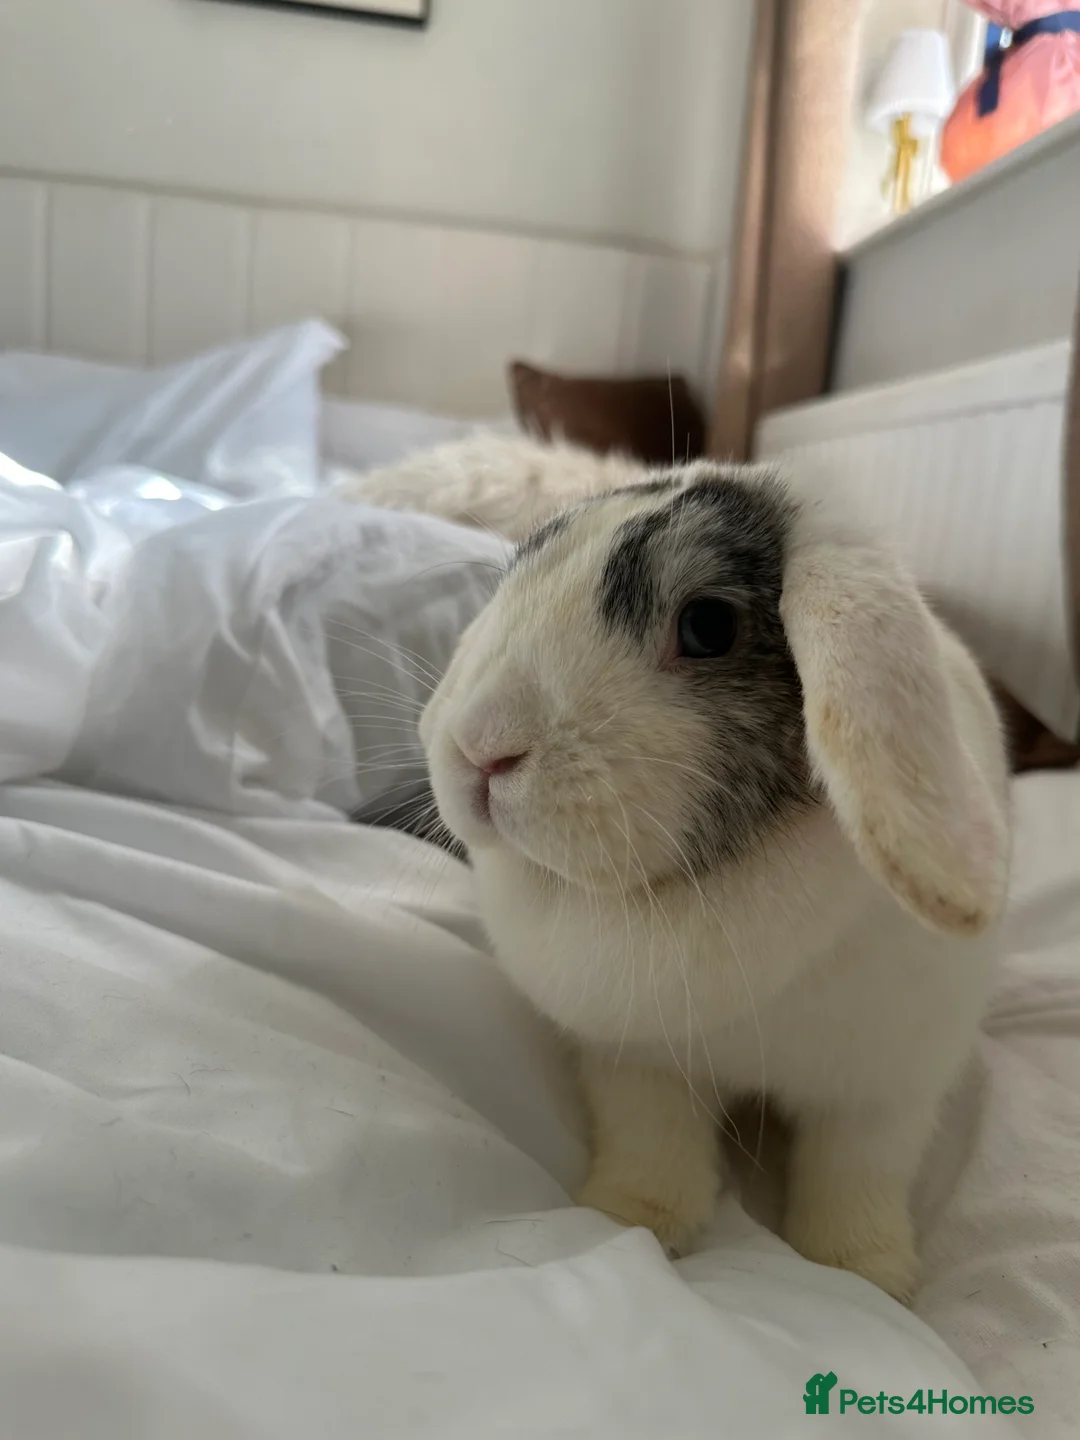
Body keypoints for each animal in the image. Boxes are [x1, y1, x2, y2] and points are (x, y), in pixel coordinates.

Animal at [418, 458, 1011, 1303]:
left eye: (706, 627)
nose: (479, 747)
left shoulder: (885, 1091)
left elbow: (857, 1176)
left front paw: (864, 1277)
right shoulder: (637, 1063)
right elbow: (654, 1144)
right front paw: (633, 1221)